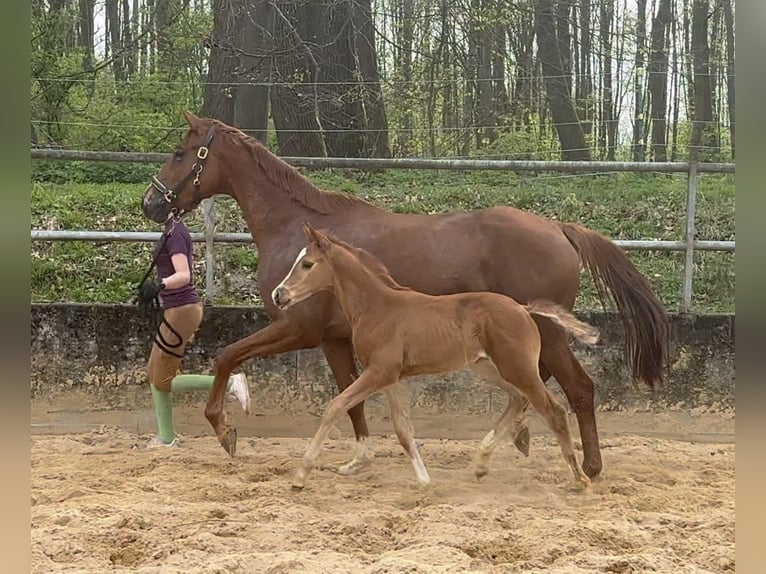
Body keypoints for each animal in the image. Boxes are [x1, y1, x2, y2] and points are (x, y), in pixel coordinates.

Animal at [272, 225, 604, 490]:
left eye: (307, 264)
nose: (279, 295)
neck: (378, 307)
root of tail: (524, 308)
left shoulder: (379, 372)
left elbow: (335, 406)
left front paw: (300, 475)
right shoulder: (391, 376)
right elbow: (402, 430)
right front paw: (423, 480)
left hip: (518, 368)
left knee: (554, 409)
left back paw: (580, 478)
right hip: (488, 367)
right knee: (517, 399)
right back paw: (481, 464)